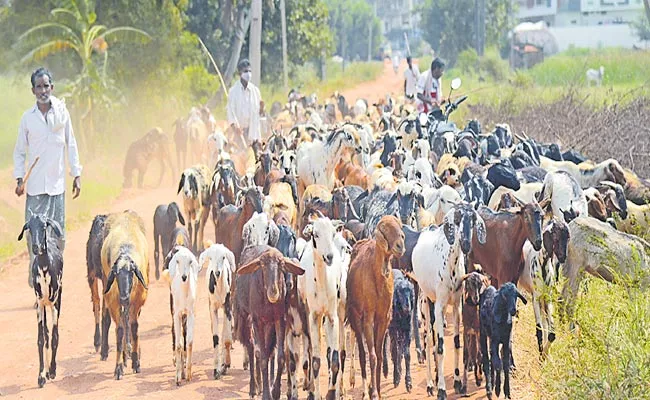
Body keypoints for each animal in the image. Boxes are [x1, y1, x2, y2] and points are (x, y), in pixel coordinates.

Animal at [200, 244, 238, 378]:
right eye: (210, 258)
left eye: (223, 257)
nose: (217, 272)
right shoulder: (213, 308)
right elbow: (216, 338)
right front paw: (216, 370)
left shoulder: (228, 306)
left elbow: (226, 338)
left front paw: (225, 365)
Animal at [346, 216, 402, 400]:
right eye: (385, 229)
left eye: (400, 227)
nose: (400, 245)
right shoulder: (368, 318)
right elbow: (372, 356)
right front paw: (374, 393)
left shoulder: (384, 318)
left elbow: (379, 354)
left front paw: (376, 388)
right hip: (356, 318)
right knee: (362, 355)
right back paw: (365, 391)